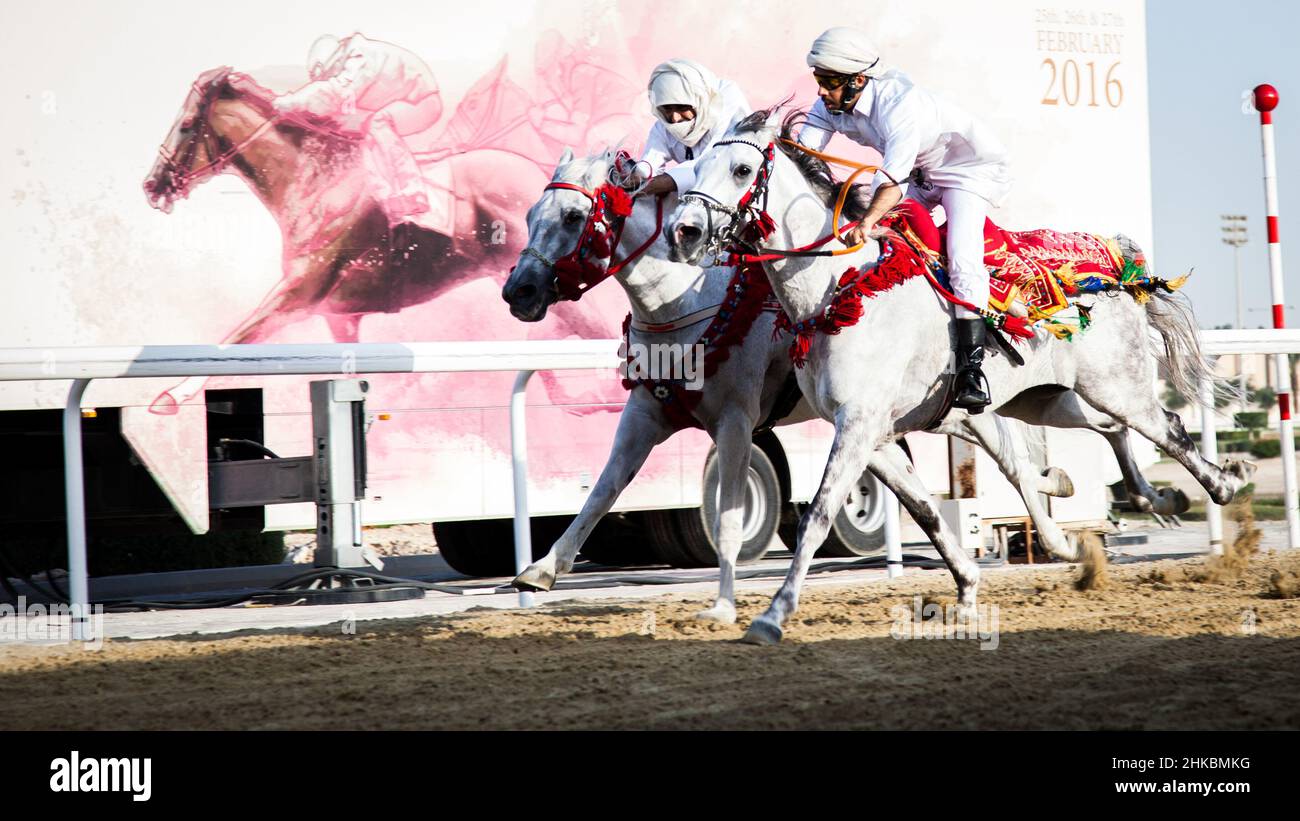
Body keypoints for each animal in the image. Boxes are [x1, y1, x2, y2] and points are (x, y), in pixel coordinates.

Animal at [504, 146, 1180, 620]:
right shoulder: (649, 413)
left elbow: (729, 516)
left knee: (1065, 447)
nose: (519, 292)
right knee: (1070, 443)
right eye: (530, 213)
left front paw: (724, 604)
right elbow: (603, 489)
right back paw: (1103, 513)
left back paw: (1124, 507)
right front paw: (540, 571)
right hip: (1013, 404)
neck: (688, 301)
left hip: (1037, 397)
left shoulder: (736, 422)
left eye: (573, 215)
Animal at [665, 110, 1253, 646]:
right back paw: (1151, 502)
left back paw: (1225, 482)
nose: (684, 232)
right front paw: (967, 589)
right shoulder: (874, 437)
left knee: (1167, 427)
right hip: (1048, 400)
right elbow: (926, 511)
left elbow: (818, 517)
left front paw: (772, 616)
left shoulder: (858, 426)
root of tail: (1118, 274)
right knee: (1114, 430)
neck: (838, 290)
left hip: (1115, 386)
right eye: (697, 163)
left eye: (742, 169)